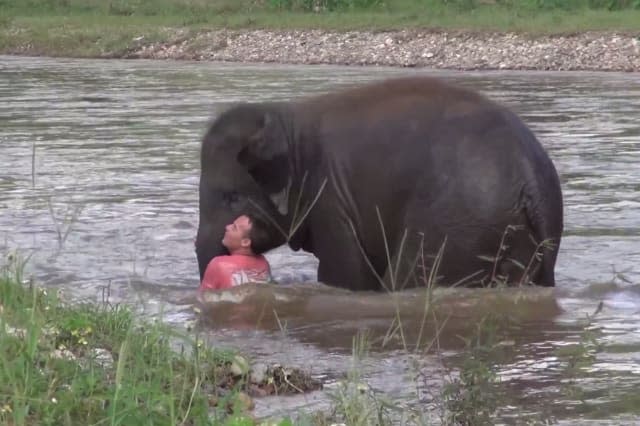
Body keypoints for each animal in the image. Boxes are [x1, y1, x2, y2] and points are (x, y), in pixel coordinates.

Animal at [194, 76, 560, 292]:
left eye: (231, 197)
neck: (286, 117)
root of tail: (530, 175)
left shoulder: (330, 200)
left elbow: (345, 276)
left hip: (458, 223)